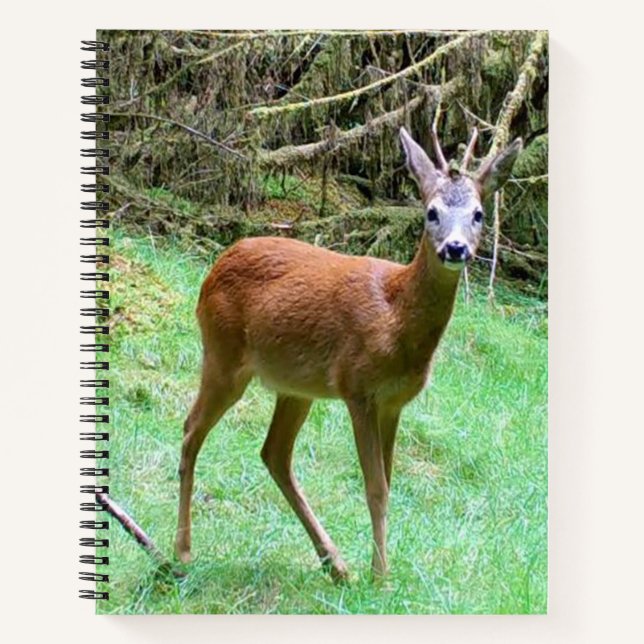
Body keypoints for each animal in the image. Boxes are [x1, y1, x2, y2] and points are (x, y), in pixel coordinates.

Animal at [175, 123, 522, 582]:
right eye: (431, 212)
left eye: (478, 214)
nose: (454, 248)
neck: (396, 319)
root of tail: (216, 266)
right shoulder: (358, 388)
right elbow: (375, 488)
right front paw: (382, 577)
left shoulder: (394, 403)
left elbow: (388, 482)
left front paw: (376, 571)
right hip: (223, 354)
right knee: (191, 430)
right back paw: (182, 552)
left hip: (295, 387)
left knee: (274, 453)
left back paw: (335, 563)